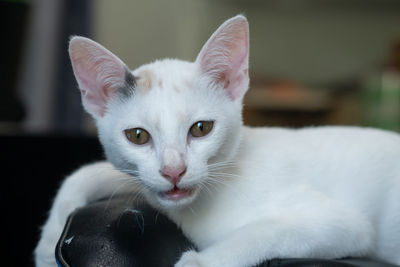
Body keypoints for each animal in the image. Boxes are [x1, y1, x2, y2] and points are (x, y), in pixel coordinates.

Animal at [35, 15, 400, 267]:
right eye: (137, 136)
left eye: (200, 129)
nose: (174, 171)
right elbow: (86, 173)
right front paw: (50, 240)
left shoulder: (343, 224)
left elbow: (265, 231)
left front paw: (197, 261)